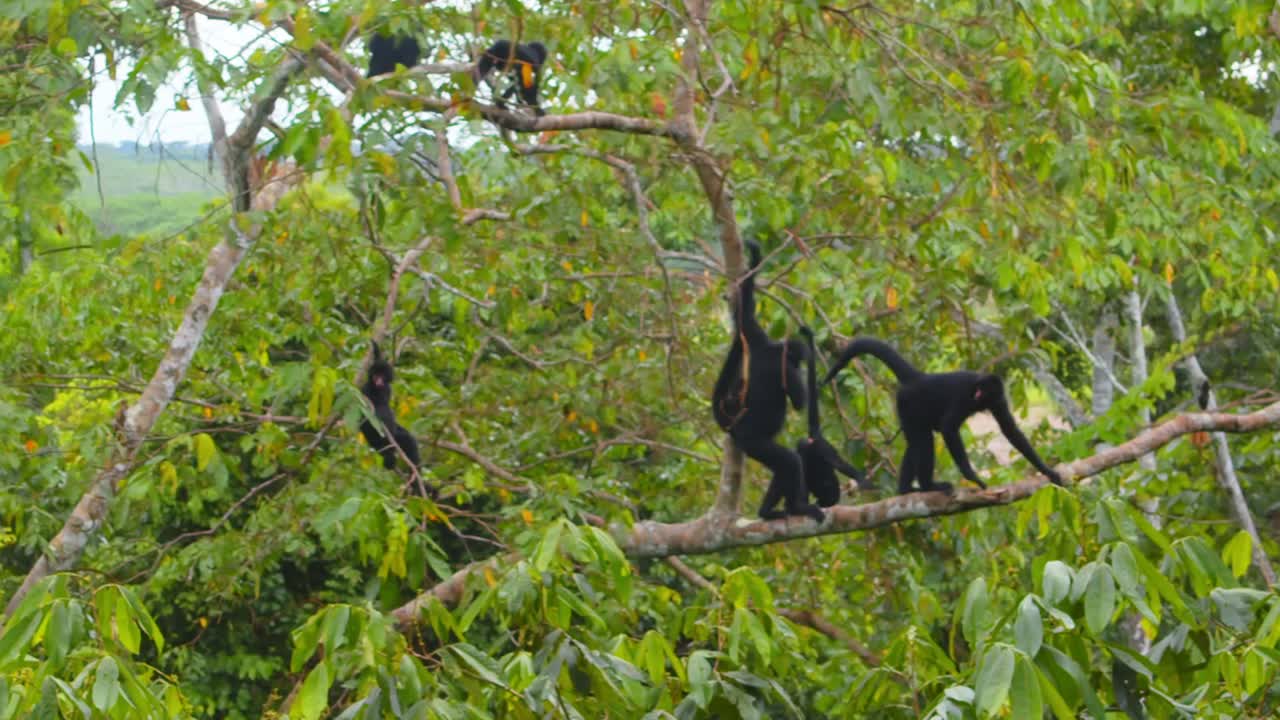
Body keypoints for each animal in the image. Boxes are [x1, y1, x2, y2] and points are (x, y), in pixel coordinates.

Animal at [710, 240, 821, 522]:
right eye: (796, 362)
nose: (798, 362)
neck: (776, 351)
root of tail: (738, 429)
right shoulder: (787, 371)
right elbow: (799, 403)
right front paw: (811, 347)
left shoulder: (758, 338)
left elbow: (745, 316)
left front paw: (755, 256)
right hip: (754, 444)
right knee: (789, 461)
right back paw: (789, 508)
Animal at [823, 337, 1063, 494]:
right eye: (982, 393)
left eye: (989, 396)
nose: (982, 397)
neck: (975, 389)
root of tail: (918, 377)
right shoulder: (962, 397)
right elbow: (948, 428)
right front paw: (971, 476)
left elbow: (1010, 430)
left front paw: (1048, 471)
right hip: (907, 403)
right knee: (923, 441)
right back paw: (928, 486)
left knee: (915, 443)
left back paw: (906, 489)